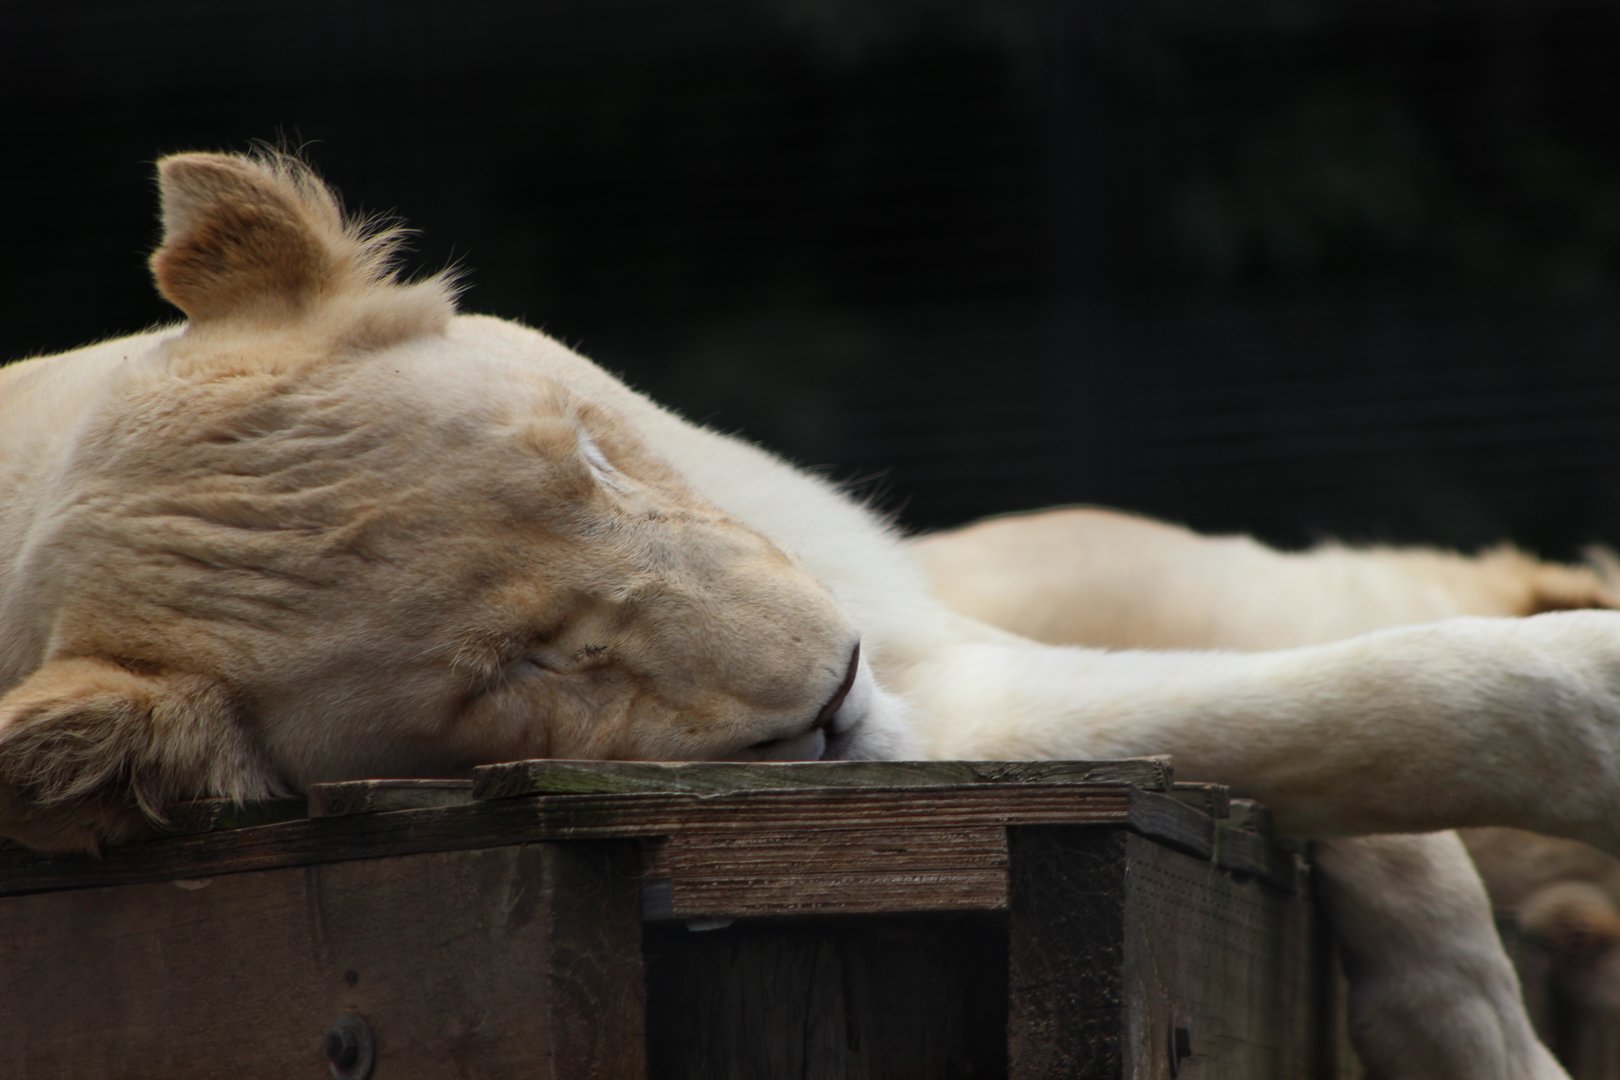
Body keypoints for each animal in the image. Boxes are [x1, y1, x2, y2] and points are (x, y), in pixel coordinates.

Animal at [6, 151, 1620, 1078]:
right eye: (517, 669)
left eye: (592, 458)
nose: (834, 682)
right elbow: (1346, 722)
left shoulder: (953, 648)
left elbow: (1366, 726)